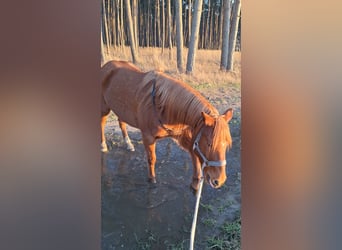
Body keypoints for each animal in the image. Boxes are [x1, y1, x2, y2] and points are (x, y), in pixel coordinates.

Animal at [99, 60, 232, 189]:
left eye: (226, 144)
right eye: (210, 144)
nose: (219, 180)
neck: (162, 105)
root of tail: (107, 65)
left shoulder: (184, 137)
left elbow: (194, 157)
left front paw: (196, 183)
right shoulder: (148, 137)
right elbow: (152, 158)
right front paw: (152, 178)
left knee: (121, 122)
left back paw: (128, 144)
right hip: (104, 108)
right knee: (102, 123)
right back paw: (103, 145)